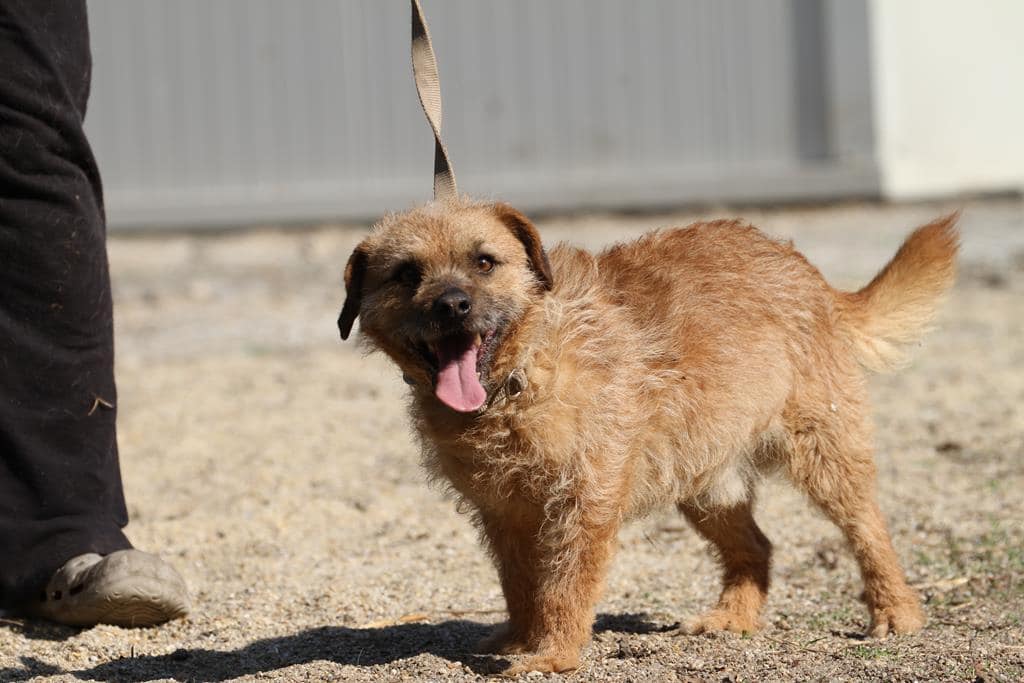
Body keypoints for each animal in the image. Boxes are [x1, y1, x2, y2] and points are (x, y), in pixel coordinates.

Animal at [337, 200, 958, 675]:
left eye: (484, 262)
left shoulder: (582, 503)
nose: (452, 305)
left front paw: (553, 655)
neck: (519, 378)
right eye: (406, 274)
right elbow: (521, 585)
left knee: (868, 528)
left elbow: (563, 585)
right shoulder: (504, 513)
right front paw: (522, 638)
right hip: (706, 482)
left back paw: (896, 611)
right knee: (757, 546)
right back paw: (733, 618)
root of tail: (810, 274)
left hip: (824, 452)